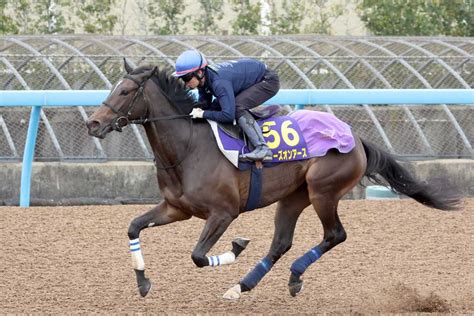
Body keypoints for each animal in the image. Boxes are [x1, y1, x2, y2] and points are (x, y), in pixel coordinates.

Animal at [85, 60, 460, 300]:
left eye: (126, 91)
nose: (92, 123)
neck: (187, 148)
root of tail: (355, 136)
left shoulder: (223, 213)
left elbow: (198, 256)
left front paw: (236, 247)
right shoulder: (176, 208)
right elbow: (133, 227)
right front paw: (142, 282)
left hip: (323, 191)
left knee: (334, 235)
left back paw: (291, 276)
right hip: (293, 196)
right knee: (281, 242)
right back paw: (242, 287)